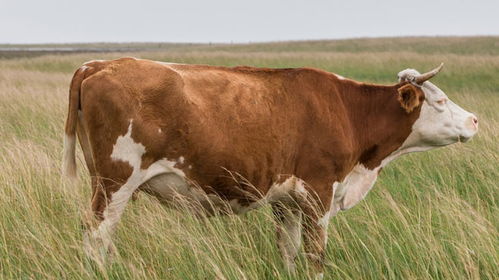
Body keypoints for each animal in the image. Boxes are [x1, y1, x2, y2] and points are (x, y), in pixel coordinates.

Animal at [63, 58, 480, 278]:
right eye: (440, 101)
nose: (475, 120)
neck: (347, 111)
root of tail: (99, 64)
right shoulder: (318, 192)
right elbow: (315, 254)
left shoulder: (287, 200)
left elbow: (289, 250)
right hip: (115, 181)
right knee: (97, 233)